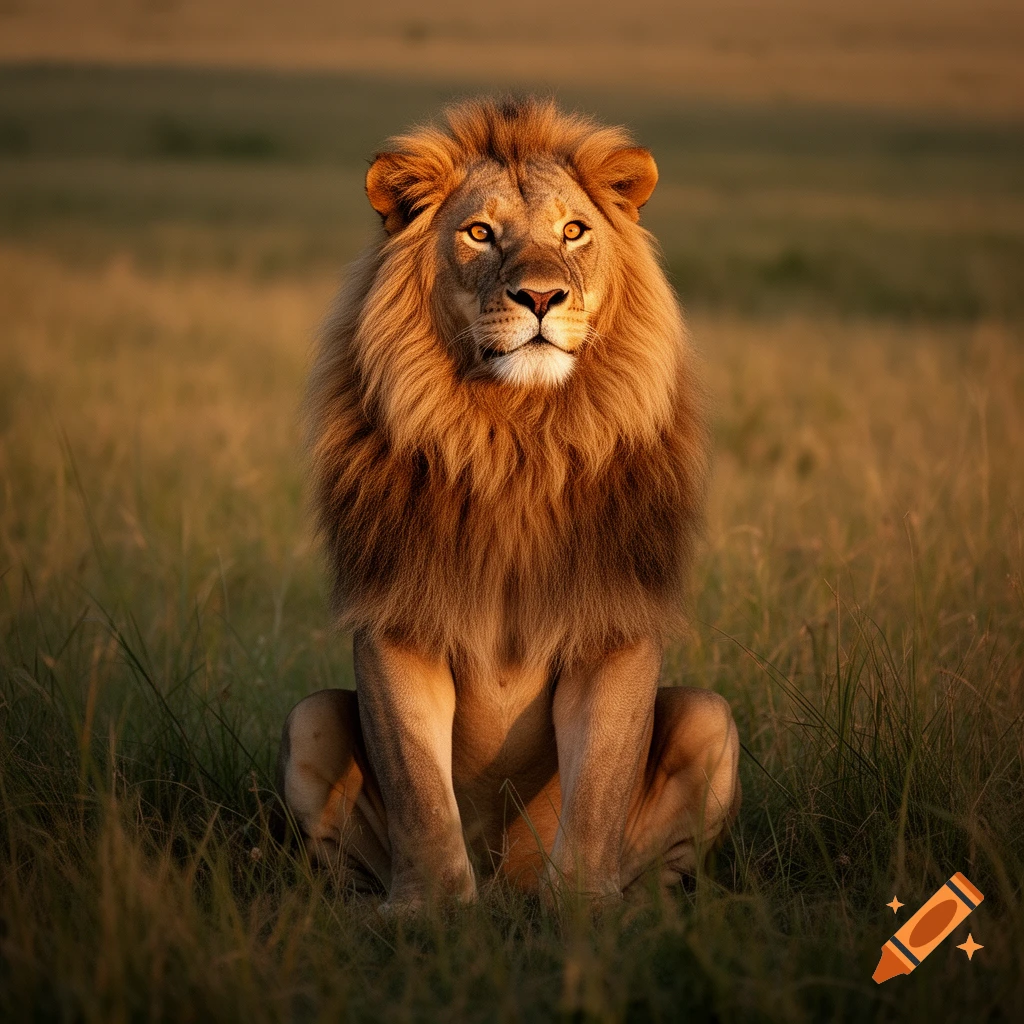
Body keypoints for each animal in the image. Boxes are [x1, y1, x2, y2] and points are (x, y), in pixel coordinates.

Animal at [278, 96, 740, 907]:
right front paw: (429, 911)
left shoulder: (613, 626)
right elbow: (420, 790)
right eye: (479, 232)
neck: (514, 439)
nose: (541, 297)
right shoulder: (398, 622)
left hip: (711, 720)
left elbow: (597, 789)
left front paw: (583, 908)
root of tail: (508, 884)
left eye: (574, 231)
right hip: (309, 723)